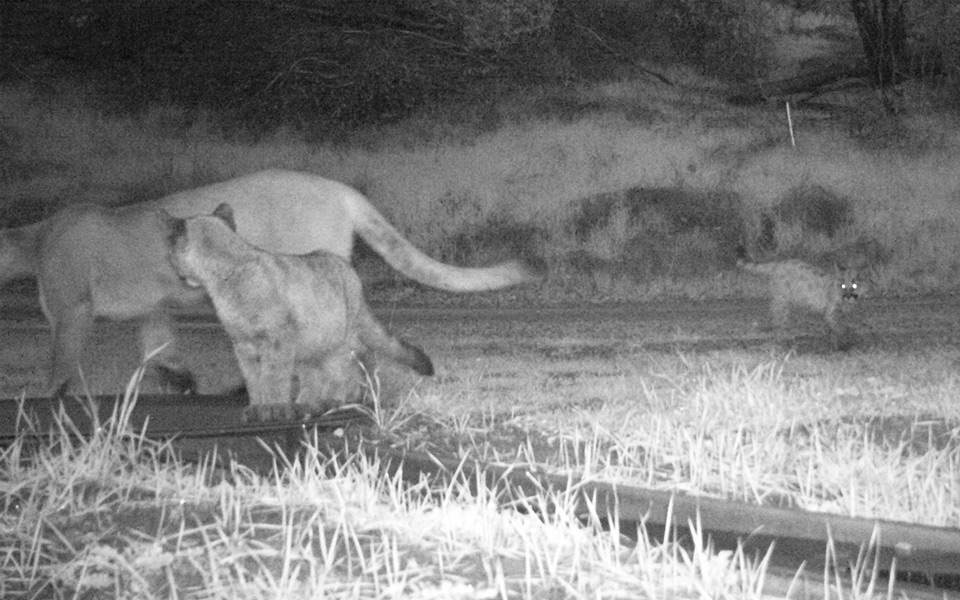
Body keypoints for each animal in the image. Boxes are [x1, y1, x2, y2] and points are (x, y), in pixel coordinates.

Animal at [0, 170, 540, 394]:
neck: (35, 238)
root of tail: (338, 189)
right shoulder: (153, 308)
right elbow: (159, 346)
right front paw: (182, 382)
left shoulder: (71, 310)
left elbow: (60, 363)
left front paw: (50, 399)